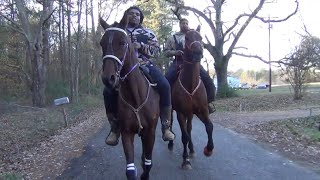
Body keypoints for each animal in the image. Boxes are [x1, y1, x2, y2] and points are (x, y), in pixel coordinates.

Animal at [99, 15, 159, 180]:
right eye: (102, 43)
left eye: (123, 42)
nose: (108, 78)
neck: (135, 96)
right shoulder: (127, 132)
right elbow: (130, 170)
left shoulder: (150, 132)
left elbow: (148, 163)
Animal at [168, 26, 215, 169]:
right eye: (187, 38)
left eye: (201, 38)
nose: (198, 53)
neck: (190, 85)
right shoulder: (181, 113)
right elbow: (184, 136)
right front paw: (185, 160)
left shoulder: (202, 110)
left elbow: (209, 126)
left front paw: (208, 149)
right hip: (174, 111)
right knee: (172, 124)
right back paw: (171, 144)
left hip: (191, 113)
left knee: (189, 129)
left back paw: (192, 149)